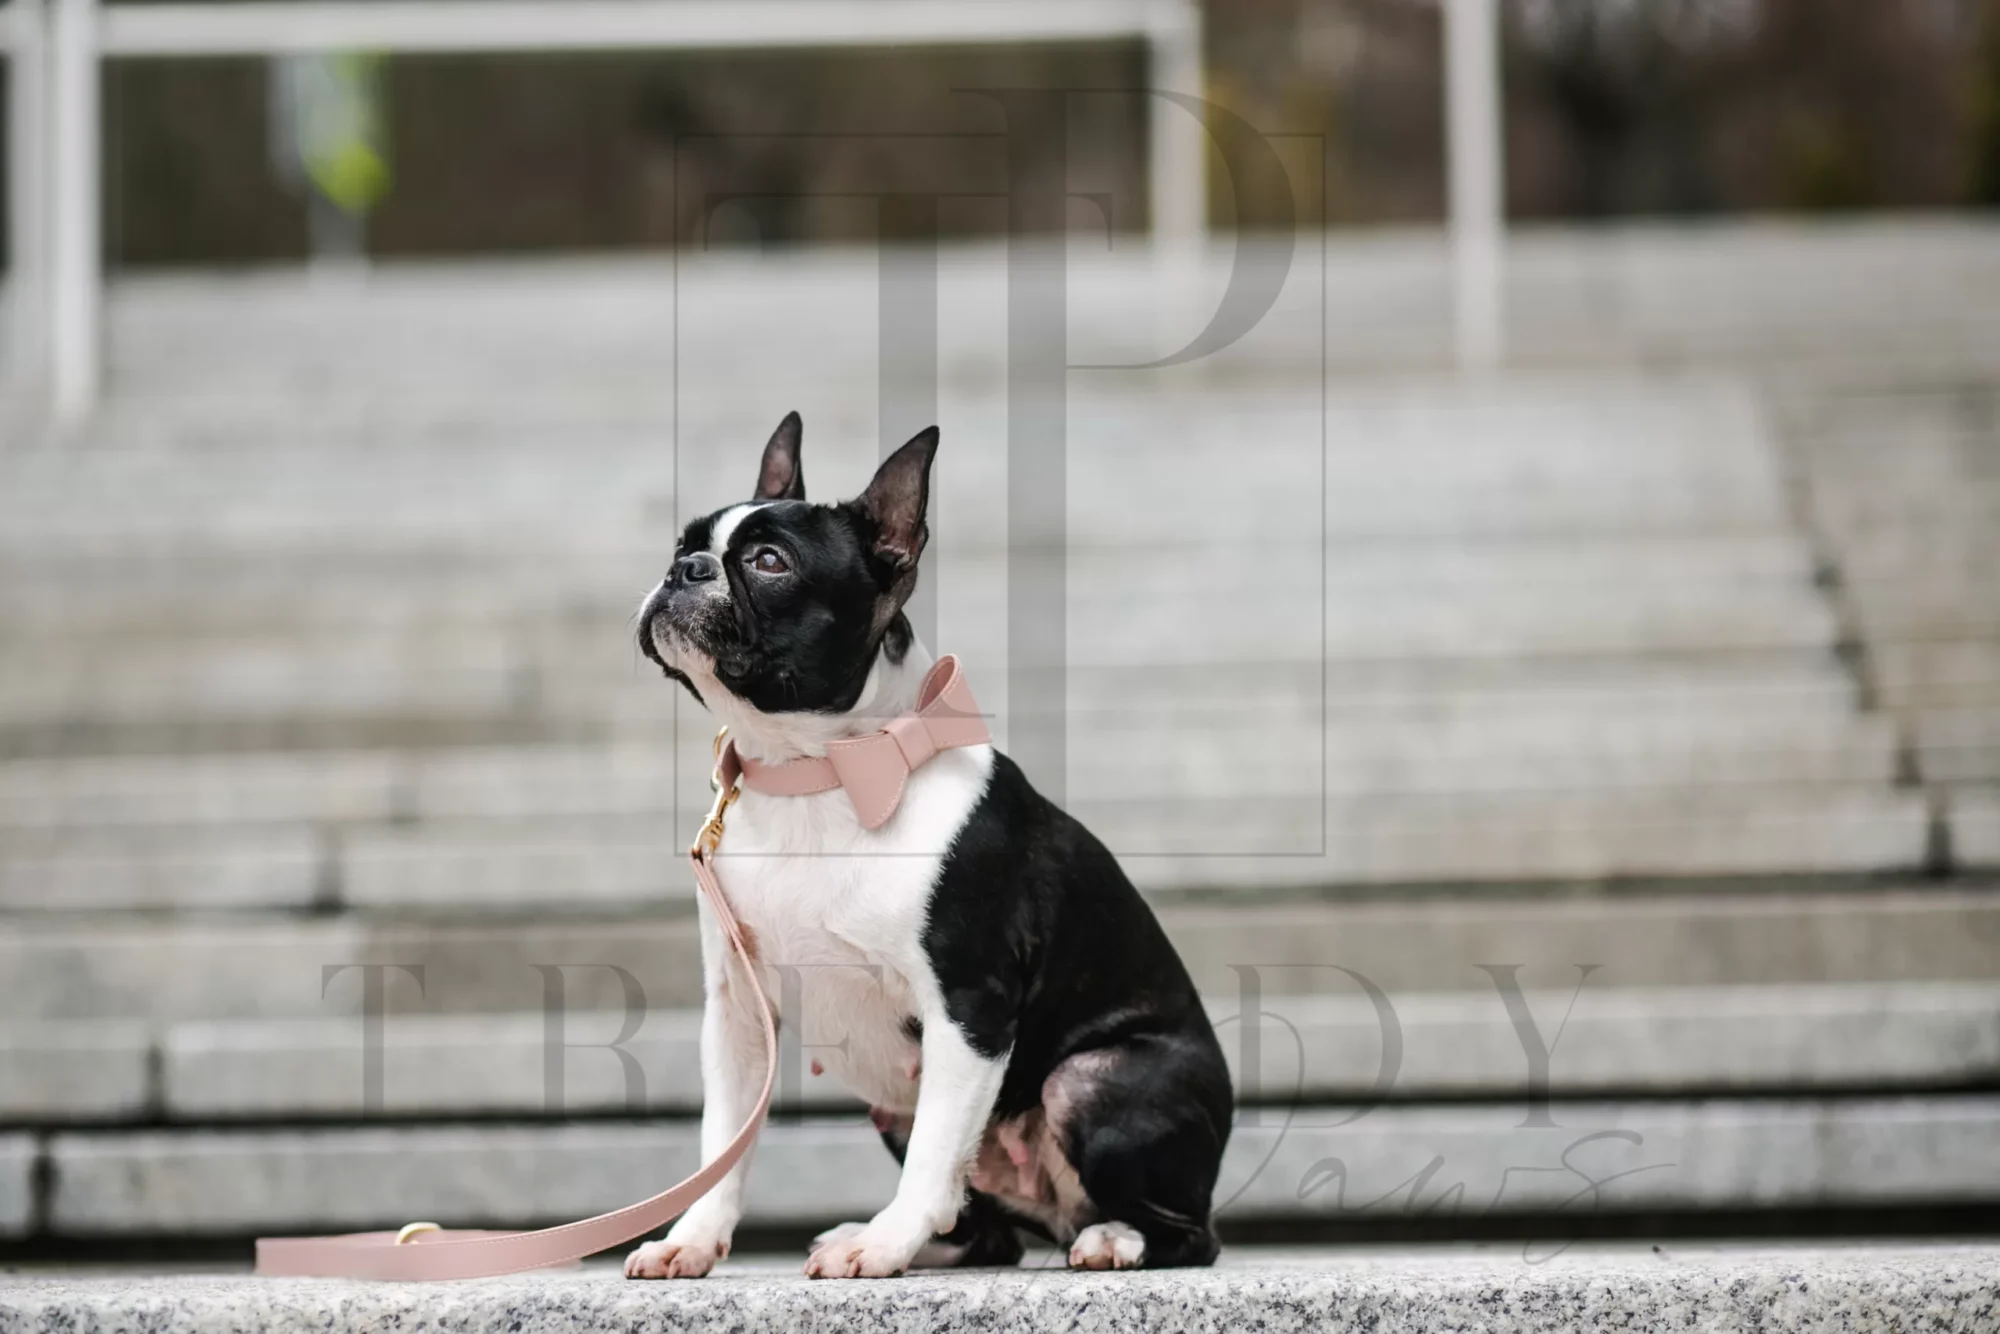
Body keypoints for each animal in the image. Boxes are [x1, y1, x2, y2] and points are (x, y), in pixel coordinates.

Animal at [624, 412, 1224, 1280]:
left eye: (769, 562)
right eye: (683, 544)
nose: (684, 570)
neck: (815, 775)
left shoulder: (969, 1009)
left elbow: (936, 1153)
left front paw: (884, 1242)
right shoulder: (738, 1015)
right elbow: (724, 1142)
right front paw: (693, 1238)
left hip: (1093, 1079)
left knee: (1188, 1230)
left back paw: (1113, 1238)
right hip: (895, 1104)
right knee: (988, 1226)